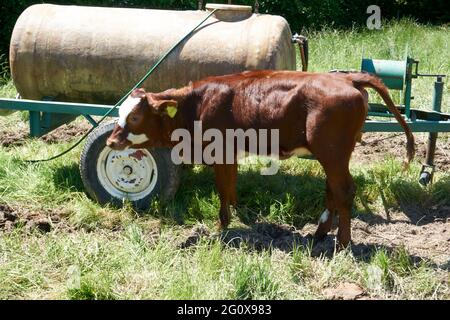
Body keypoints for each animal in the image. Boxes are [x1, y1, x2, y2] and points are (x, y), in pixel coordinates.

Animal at [106, 70, 414, 248]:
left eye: (135, 117)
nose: (111, 141)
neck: (198, 103)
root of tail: (347, 78)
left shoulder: (220, 152)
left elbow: (223, 189)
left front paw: (221, 226)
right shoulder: (230, 155)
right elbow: (230, 187)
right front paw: (237, 215)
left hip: (333, 153)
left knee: (344, 191)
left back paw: (342, 243)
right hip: (335, 155)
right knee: (333, 190)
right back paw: (320, 233)